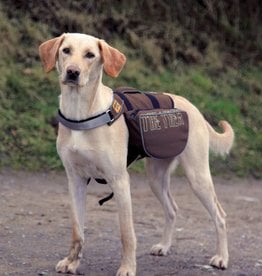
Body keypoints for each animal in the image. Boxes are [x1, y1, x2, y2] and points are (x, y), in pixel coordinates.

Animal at [38, 33, 233, 274]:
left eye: (90, 55)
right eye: (66, 50)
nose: (73, 72)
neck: (81, 114)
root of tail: (194, 108)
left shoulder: (120, 181)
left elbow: (126, 234)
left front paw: (128, 268)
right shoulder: (75, 180)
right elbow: (77, 230)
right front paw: (72, 262)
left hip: (198, 177)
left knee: (220, 216)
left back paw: (221, 257)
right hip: (156, 178)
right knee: (172, 209)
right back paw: (164, 246)